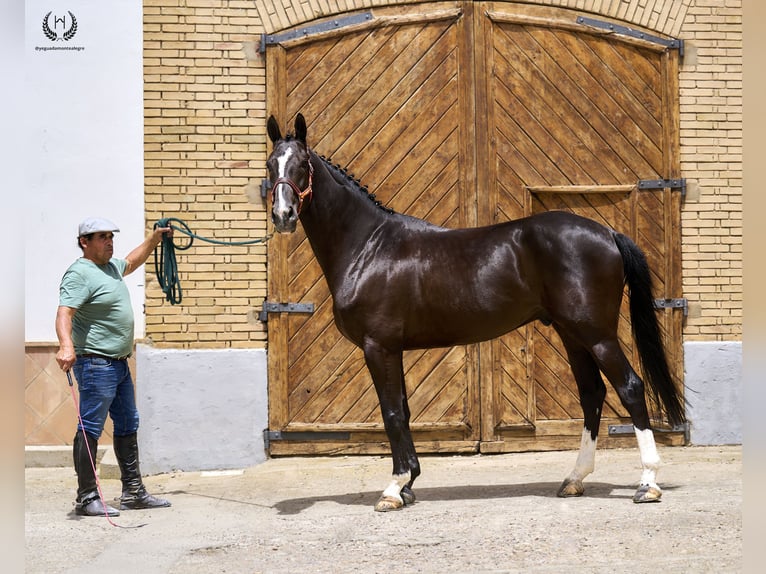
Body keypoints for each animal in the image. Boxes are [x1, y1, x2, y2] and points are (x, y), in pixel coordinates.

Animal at [268, 112, 688, 512]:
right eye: (272, 164)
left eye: (303, 164)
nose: (283, 216)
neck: (369, 247)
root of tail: (607, 234)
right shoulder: (392, 349)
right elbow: (403, 410)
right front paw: (409, 484)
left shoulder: (378, 346)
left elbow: (391, 414)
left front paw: (393, 489)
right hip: (572, 333)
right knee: (592, 393)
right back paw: (574, 479)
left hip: (597, 334)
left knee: (630, 387)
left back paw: (648, 484)